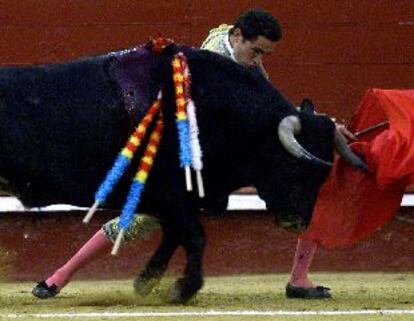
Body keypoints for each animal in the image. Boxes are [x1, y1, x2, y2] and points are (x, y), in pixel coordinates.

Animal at [0, 43, 366, 302]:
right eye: (294, 165)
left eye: (322, 175)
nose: (299, 222)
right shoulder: (170, 194)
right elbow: (194, 235)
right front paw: (182, 288)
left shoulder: (168, 199)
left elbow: (175, 235)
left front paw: (147, 281)